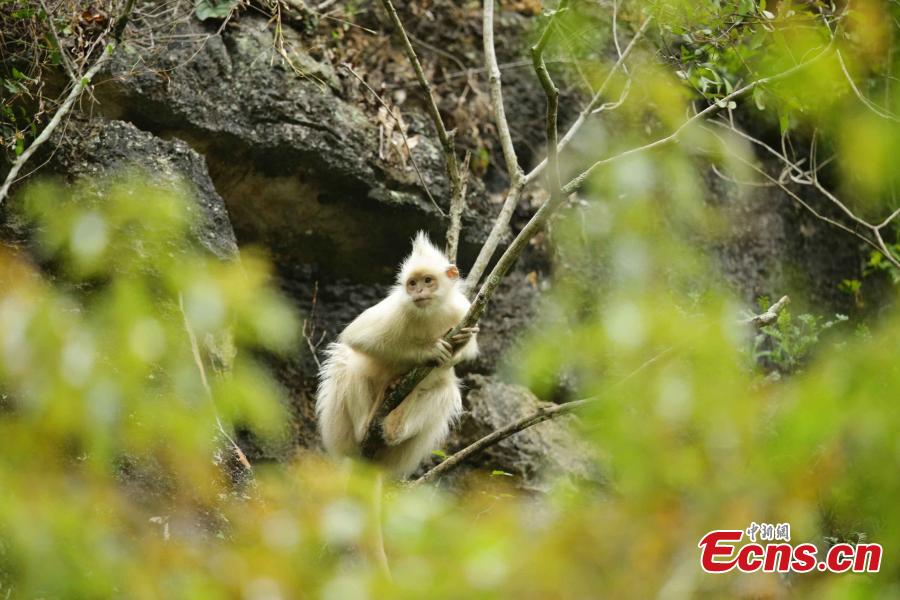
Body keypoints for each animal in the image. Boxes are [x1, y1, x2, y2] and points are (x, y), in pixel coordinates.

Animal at [320, 231, 482, 478]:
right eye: (412, 284)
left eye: (428, 280)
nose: (419, 291)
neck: (429, 312)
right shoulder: (397, 307)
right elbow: (357, 336)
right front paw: (428, 350)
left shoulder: (463, 310)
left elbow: (465, 351)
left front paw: (462, 340)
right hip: (341, 432)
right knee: (349, 362)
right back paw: (367, 422)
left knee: (445, 390)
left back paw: (395, 424)